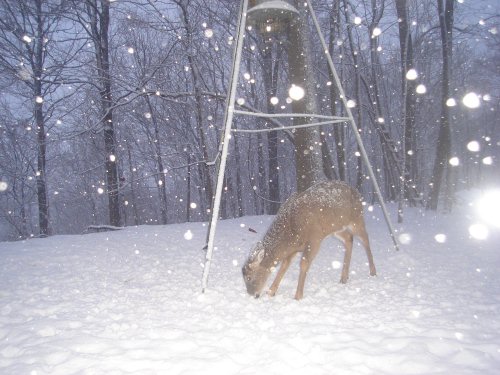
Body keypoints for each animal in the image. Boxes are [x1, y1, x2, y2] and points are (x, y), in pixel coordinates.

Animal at [242, 181, 376, 302]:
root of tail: (356, 192)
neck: (291, 230)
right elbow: (284, 266)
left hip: (356, 218)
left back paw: (373, 271)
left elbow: (303, 264)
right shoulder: (294, 248)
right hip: (336, 228)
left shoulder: (314, 239)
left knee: (365, 239)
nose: (253, 295)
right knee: (349, 238)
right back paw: (344, 278)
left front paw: (298, 296)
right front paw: (271, 292)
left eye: (248, 277)